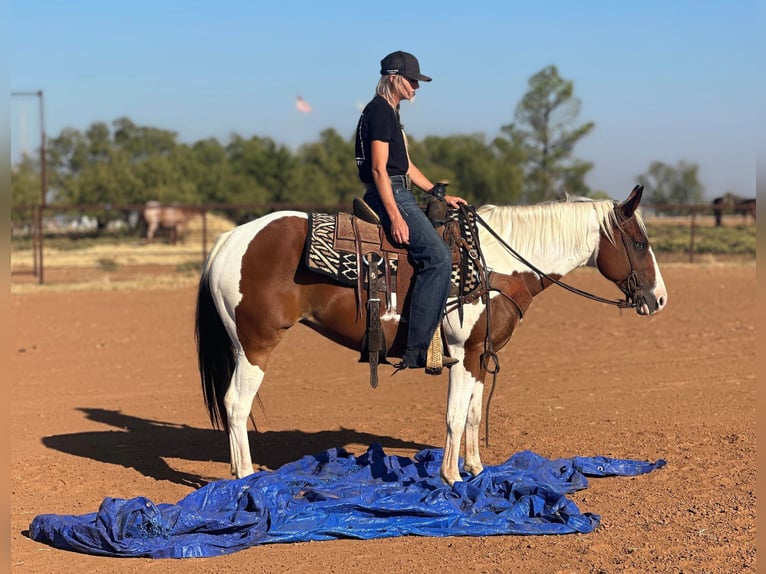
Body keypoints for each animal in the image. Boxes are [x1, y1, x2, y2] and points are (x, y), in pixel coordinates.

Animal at [195, 184, 668, 486]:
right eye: (640, 244)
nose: (660, 298)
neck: (497, 265)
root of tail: (228, 240)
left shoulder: (480, 355)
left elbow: (473, 415)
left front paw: (477, 471)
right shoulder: (463, 352)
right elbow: (455, 416)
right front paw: (451, 477)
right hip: (256, 345)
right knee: (236, 405)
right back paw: (245, 479)